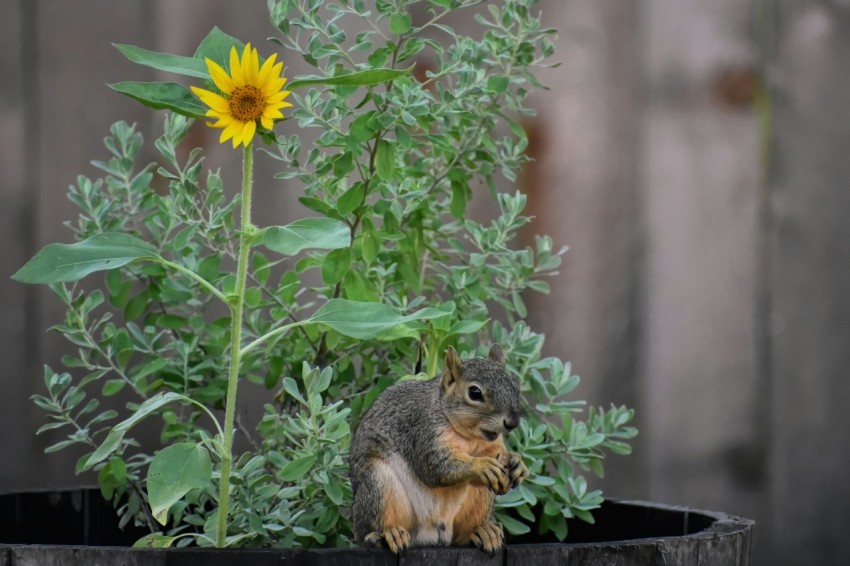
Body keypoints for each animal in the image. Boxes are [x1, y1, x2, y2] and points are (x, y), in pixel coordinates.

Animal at [348, 346, 528, 556]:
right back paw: (385, 535)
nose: (513, 422)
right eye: (474, 392)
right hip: (378, 484)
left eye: (514, 386)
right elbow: (434, 467)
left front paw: (517, 463)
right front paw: (481, 465)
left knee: (462, 536)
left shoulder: (491, 445)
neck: (468, 437)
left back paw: (482, 531)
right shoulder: (424, 431)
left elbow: (498, 453)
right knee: (374, 525)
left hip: (479, 500)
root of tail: (435, 533)